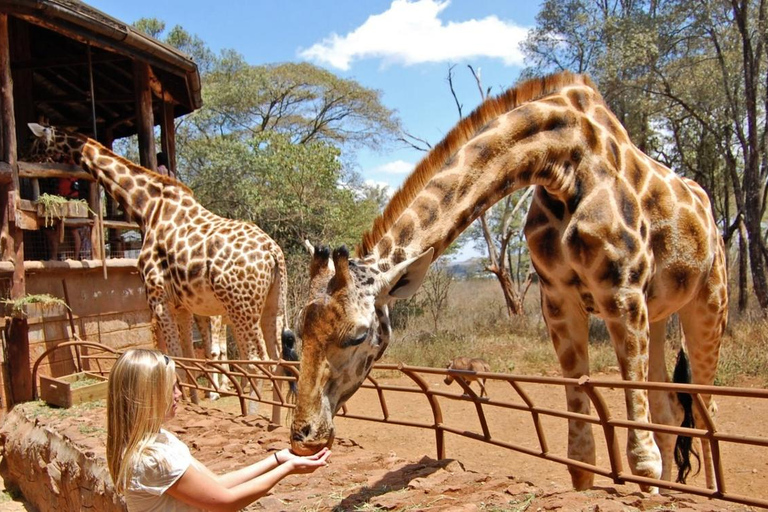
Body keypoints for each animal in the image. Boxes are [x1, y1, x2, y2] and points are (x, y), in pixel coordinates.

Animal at [27, 123, 292, 420]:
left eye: (35, 143)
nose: (28, 161)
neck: (146, 207)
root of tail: (272, 251)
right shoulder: (183, 305)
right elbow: (188, 357)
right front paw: (193, 401)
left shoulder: (156, 297)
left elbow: (173, 357)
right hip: (272, 304)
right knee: (277, 358)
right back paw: (274, 419)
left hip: (240, 306)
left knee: (258, 360)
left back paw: (254, 414)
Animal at [288, 72, 728, 492]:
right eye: (298, 333)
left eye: (359, 335)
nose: (304, 436)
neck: (564, 163)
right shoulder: (559, 302)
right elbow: (581, 453)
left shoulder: (622, 292)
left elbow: (642, 455)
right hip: (659, 313)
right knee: (669, 407)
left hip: (708, 304)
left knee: (708, 411)